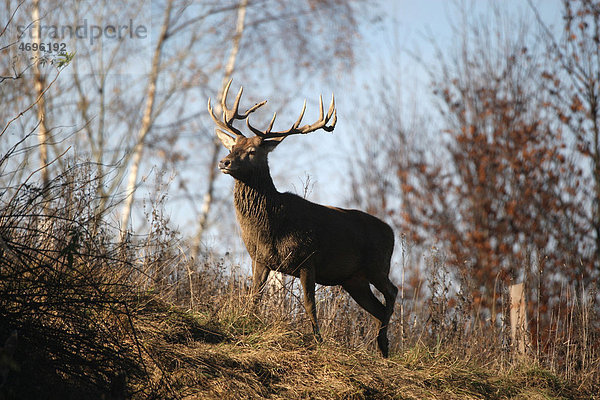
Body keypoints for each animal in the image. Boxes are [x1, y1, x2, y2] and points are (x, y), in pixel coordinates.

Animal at [207, 80, 398, 356]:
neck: (270, 227)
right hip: (354, 280)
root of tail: (392, 232)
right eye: (232, 147)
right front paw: (246, 321)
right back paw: (381, 349)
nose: (224, 161)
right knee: (378, 309)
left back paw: (383, 342)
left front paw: (318, 340)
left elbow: (310, 304)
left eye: (252, 151)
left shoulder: (308, 259)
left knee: (393, 292)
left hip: (378, 265)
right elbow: (255, 295)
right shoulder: (260, 259)